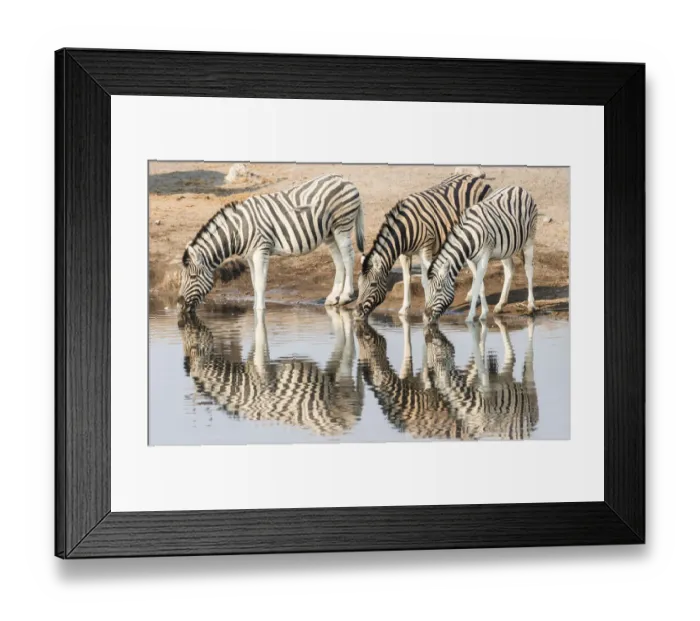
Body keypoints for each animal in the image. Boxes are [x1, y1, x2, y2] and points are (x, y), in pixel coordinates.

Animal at [178, 174, 365, 314]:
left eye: (192, 277)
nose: (179, 303)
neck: (238, 231)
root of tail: (345, 179)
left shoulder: (261, 250)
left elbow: (260, 283)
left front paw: (260, 311)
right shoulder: (250, 256)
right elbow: (254, 283)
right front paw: (255, 308)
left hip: (342, 225)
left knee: (348, 257)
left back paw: (346, 296)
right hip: (329, 233)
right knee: (339, 261)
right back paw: (333, 298)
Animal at [179, 308, 363, 437]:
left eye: (193, 345)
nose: (181, 322)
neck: (241, 386)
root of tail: (346, 428)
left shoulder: (263, 374)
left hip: (341, 392)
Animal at [353, 174, 494, 321]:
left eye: (373, 284)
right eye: (359, 284)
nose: (356, 314)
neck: (405, 230)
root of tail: (474, 177)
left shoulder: (425, 249)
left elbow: (425, 281)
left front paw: (427, 306)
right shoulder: (404, 254)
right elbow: (406, 278)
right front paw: (405, 308)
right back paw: (471, 295)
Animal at [424, 185, 538, 324]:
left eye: (438, 289)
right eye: (427, 290)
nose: (426, 316)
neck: (469, 238)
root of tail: (518, 187)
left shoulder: (484, 257)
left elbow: (478, 283)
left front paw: (470, 317)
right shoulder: (471, 260)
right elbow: (480, 285)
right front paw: (483, 313)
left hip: (530, 238)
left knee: (529, 269)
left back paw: (531, 306)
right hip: (506, 248)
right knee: (509, 269)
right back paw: (500, 305)